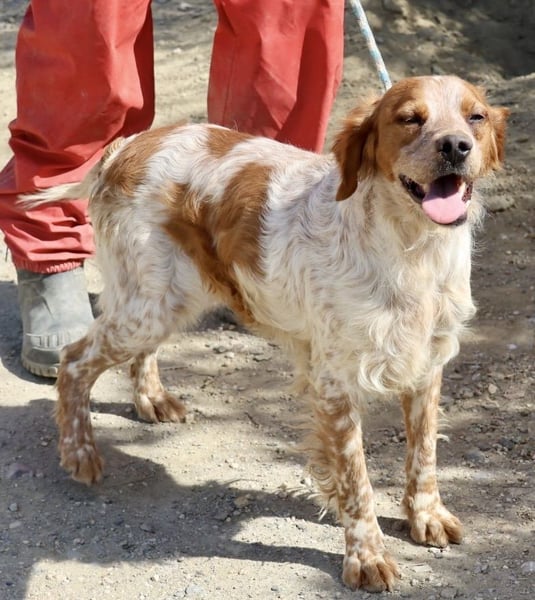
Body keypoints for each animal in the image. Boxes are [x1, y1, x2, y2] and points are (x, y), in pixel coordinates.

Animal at [24, 75, 508, 591]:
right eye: (410, 118)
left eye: (475, 117)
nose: (455, 146)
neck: (412, 248)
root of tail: (126, 148)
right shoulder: (334, 381)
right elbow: (357, 481)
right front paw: (366, 555)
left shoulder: (426, 363)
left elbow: (424, 453)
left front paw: (426, 515)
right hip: (147, 308)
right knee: (74, 360)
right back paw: (79, 452)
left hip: (165, 299)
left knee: (136, 352)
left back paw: (151, 399)